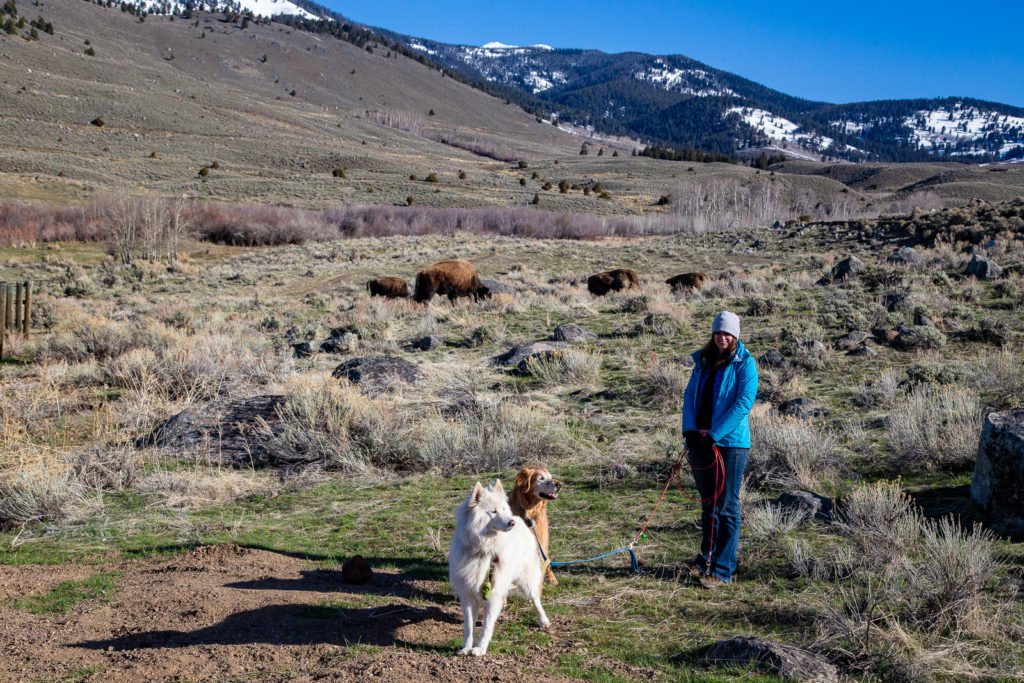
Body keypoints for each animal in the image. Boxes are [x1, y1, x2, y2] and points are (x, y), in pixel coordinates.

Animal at [450, 479, 552, 655]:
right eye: (493, 511)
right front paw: (466, 648)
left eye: (504, 510)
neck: (485, 550)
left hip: (526, 580)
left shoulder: (493, 594)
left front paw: (480, 648)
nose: (511, 522)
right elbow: (469, 627)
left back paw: (543, 620)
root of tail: (520, 519)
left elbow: (486, 626)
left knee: (535, 599)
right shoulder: (468, 596)